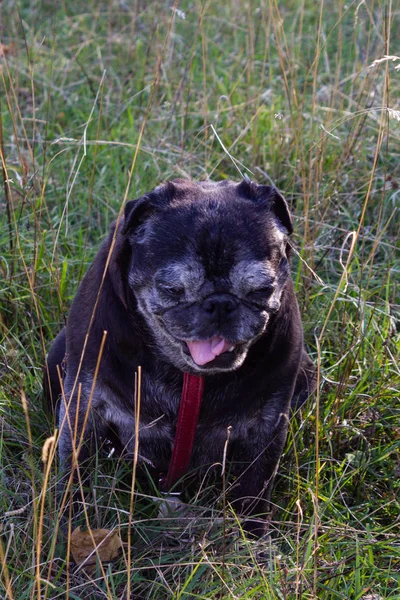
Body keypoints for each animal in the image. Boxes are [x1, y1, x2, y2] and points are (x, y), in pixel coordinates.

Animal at [43, 178, 318, 536]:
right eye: (172, 289)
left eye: (262, 289)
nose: (220, 304)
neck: (190, 377)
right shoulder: (84, 405)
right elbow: (77, 466)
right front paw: (72, 522)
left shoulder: (267, 425)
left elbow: (254, 488)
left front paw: (252, 536)